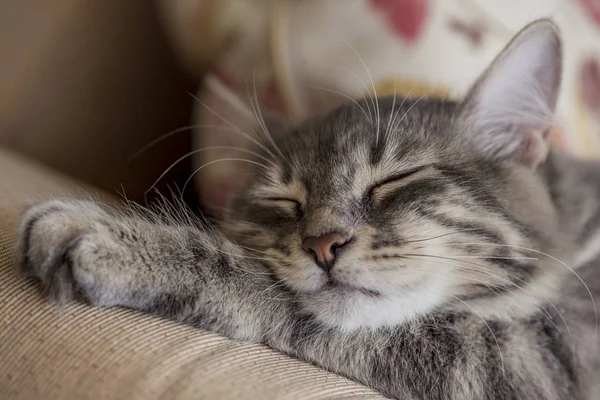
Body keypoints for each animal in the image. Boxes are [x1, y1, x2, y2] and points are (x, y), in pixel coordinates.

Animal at [16, 19, 600, 400]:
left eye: (394, 179)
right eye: (284, 199)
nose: (323, 243)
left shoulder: (544, 356)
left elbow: (266, 286)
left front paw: (118, 239)